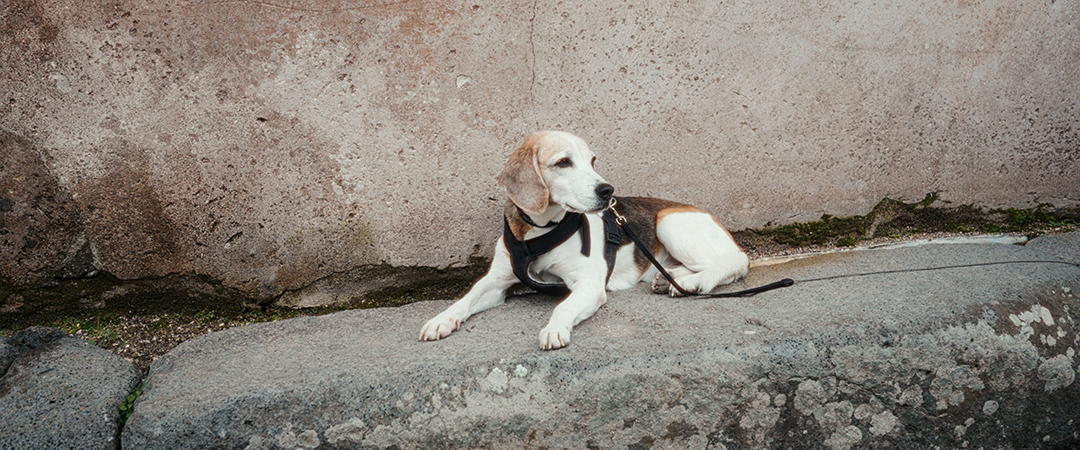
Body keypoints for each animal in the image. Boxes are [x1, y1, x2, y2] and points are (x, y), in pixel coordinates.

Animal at [416, 131, 747, 349]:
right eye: (563, 162)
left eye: (592, 161)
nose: (607, 191)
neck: (539, 233)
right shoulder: (496, 281)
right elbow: (466, 298)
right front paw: (441, 319)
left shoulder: (588, 285)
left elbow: (563, 307)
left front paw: (554, 328)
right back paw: (674, 279)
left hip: (670, 222)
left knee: (733, 264)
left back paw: (692, 282)